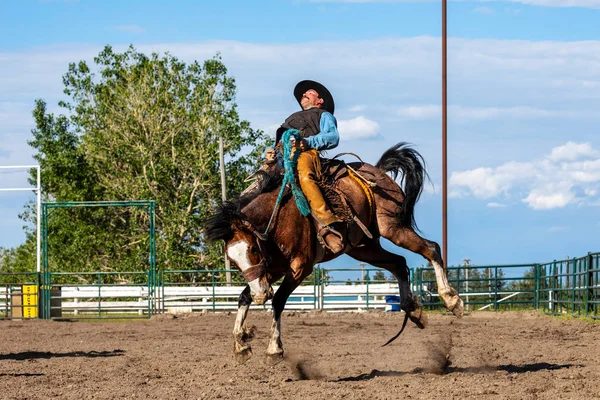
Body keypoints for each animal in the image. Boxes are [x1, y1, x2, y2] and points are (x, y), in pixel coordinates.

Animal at [204, 141, 462, 366]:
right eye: (232, 260)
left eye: (253, 249)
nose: (260, 296)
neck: (278, 216)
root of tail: (378, 171)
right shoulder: (271, 269)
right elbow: (243, 296)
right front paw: (241, 344)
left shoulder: (300, 268)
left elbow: (278, 301)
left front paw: (273, 350)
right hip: (364, 248)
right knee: (398, 263)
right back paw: (414, 310)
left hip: (393, 228)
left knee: (431, 248)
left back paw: (452, 300)